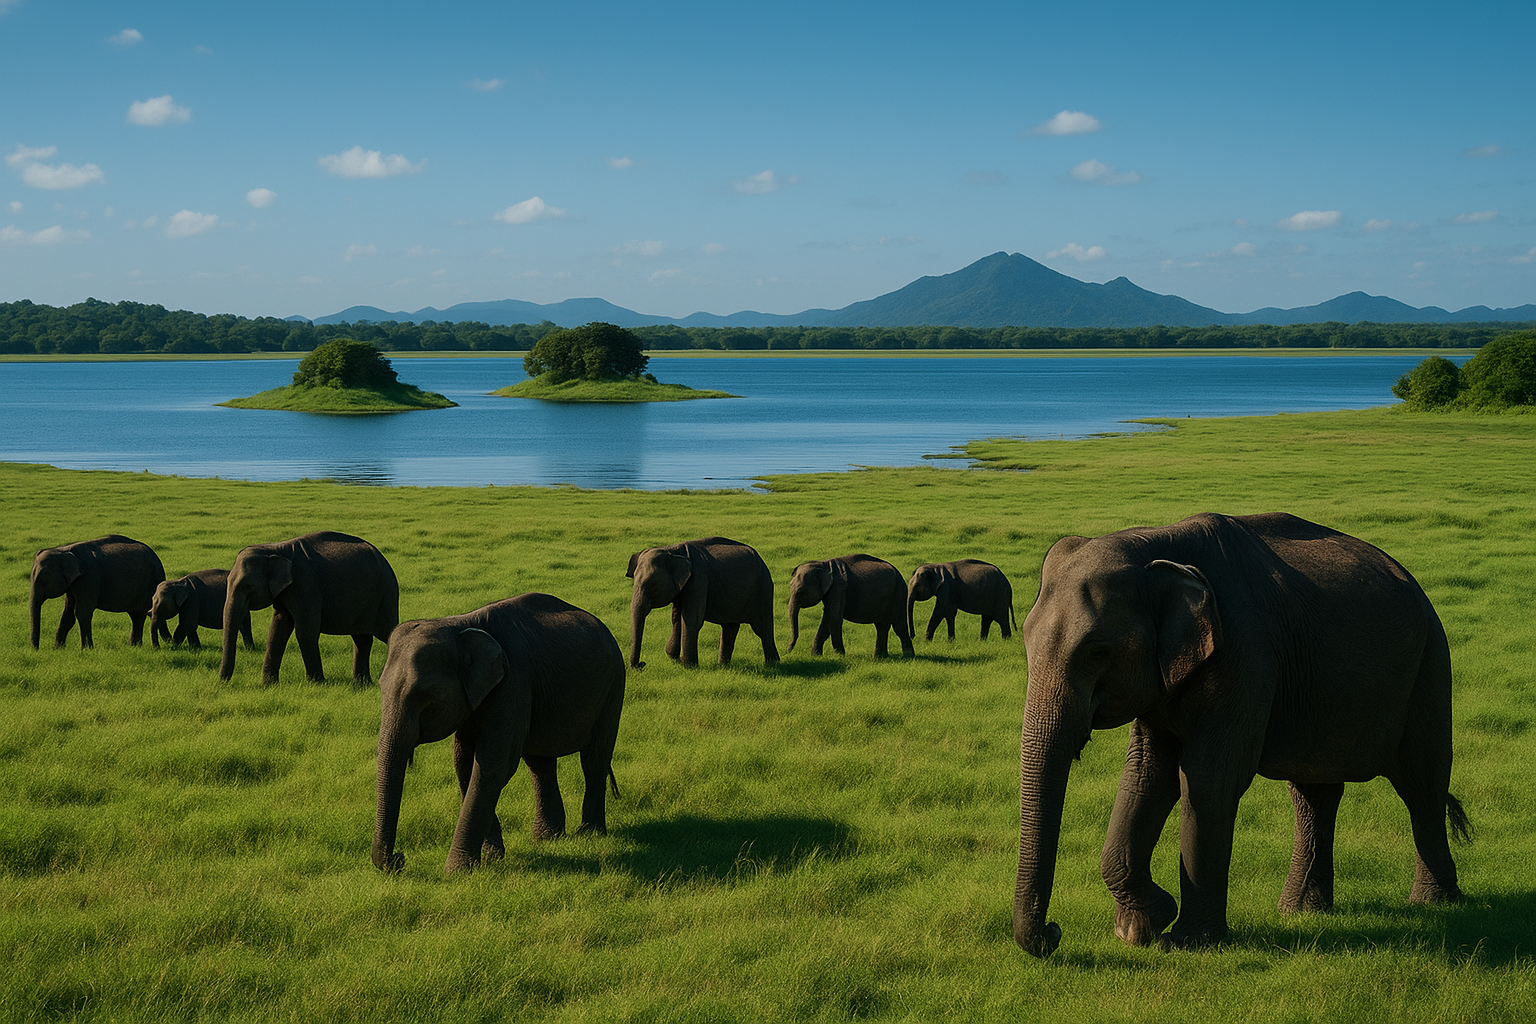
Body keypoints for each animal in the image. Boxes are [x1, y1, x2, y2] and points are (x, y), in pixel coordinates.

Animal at [30, 535, 164, 649]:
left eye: (43, 580)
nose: (36, 649)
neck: (63, 550)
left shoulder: (89, 576)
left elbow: (82, 612)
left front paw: (87, 649)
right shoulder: (74, 582)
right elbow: (68, 614)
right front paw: (58, 649)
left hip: (151, 582)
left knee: (139, 614)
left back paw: (135, 646)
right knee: (135, 615)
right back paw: (133, 646)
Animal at [219, 531, 399, 684]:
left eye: (246, 586)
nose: (223, 683)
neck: (275, 549)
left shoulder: (305, 584)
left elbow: (305, 631)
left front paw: (317, 683)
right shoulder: (286, 590)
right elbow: (278, 629)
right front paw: (268, 684)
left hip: (385, 595)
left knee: (386, 632)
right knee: (362, 638)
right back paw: (362, 683)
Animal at [371, 593, 626, 874]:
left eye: (425, 698)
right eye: (380, 687)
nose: (399, 859)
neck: (459, 624)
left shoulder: (513, 681)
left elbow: (493, 766)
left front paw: (457, 871)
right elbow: (465, 765)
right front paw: (491, 857)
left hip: (614, 685)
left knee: (594, 758)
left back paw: (589, 834)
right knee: (540, 763)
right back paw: (547, 838)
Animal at [626, 536, 779, 669]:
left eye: (653, 586)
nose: (642, 664)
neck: (672, 550)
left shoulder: (698, 580)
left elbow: (691, 619)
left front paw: (689, 666)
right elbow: (676, 618)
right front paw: (675, 660)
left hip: (763, 588)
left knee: (762, 628)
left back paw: (772, 664)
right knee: (730, 627)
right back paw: (723, 666)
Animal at [1012, 512, 1468, 958]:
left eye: (1097, 652)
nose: (1054, 932)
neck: (1155, 542)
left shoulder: (1244, 652)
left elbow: (1208, 778)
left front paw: (1185, 941)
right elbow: (1147, 775)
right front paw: (1141, 928)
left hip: (1430, 662)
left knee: (1421, 784)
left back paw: (1434, 903)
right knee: (1314, 793)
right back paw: (1302, 913)